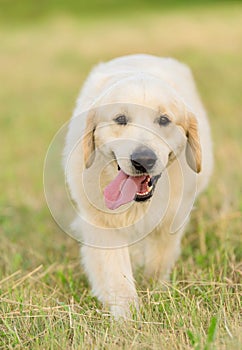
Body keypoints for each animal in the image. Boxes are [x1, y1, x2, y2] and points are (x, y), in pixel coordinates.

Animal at [63, 53, 213, 318]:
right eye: (120, 119)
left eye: (164, 120)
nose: (143, 160)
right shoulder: (102, 224)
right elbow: (116, 274)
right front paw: (127, 318)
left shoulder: (170, 222)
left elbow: (157, 262)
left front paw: (155, 292)